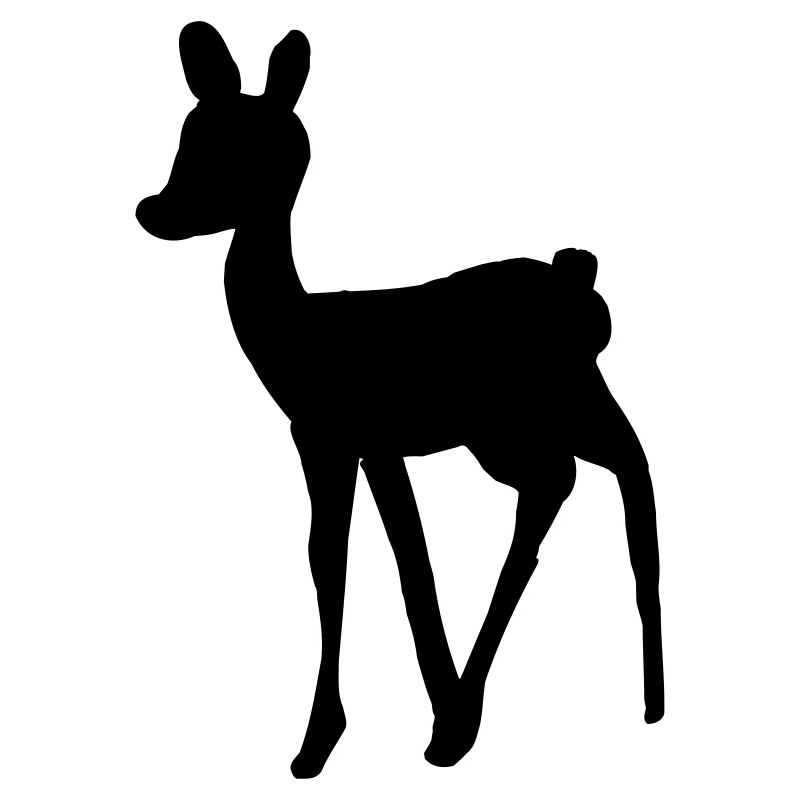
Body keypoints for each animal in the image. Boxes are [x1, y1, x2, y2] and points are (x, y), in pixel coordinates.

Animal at [136, 22, 664, 779]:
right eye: (187, 136)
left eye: (241, 144)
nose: (154, 210)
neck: (301, 332)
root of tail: (581, 283)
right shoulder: (355, 443)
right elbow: (378, 554)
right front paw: (399, 721)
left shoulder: (343, 433)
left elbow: (354, 557)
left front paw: (322, 743)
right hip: (547, 413)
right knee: (598, 471)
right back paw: (640, 702)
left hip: (525, 413)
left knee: (583, 476)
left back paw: (482, 717)